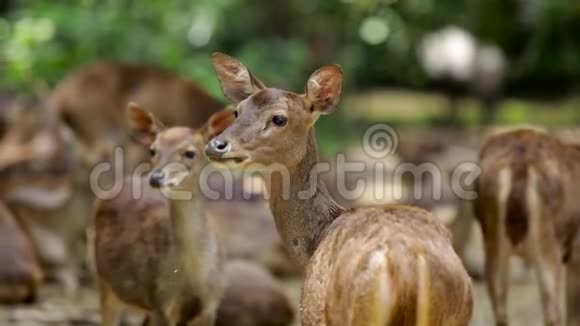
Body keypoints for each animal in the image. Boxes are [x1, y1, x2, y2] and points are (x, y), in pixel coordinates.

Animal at [94, 104, 294, 326]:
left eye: (190, 153)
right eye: (153, 150)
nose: (156, 177)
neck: (191, 278)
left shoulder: (210, 304)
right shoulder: (160, 300)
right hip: (103, 279)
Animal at [206, 52, 474, 326]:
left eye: (279, 118)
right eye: (237, 111)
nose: (217, 145)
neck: (313, 243)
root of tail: (406, 267)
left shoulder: (311, 315)